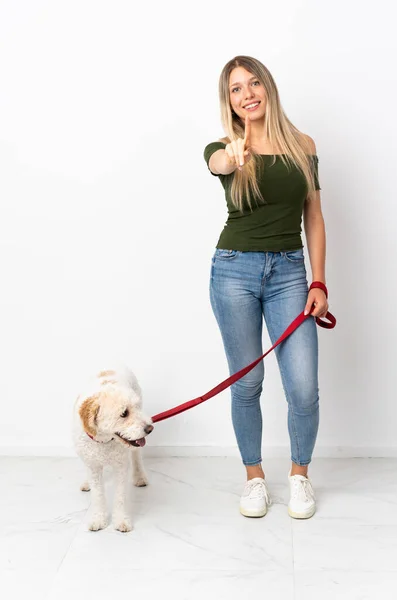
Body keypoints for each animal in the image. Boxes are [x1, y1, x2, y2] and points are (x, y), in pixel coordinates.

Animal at [72, 366, 153, 528]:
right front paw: (99, 519)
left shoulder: (121, 466)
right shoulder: (93, 466)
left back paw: (140, 477)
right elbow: (97, 495)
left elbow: (120, 496)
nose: (149, 428)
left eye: (135, 408)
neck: (104, 441)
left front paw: (121, 520)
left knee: (136, 457)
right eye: (124, 413)